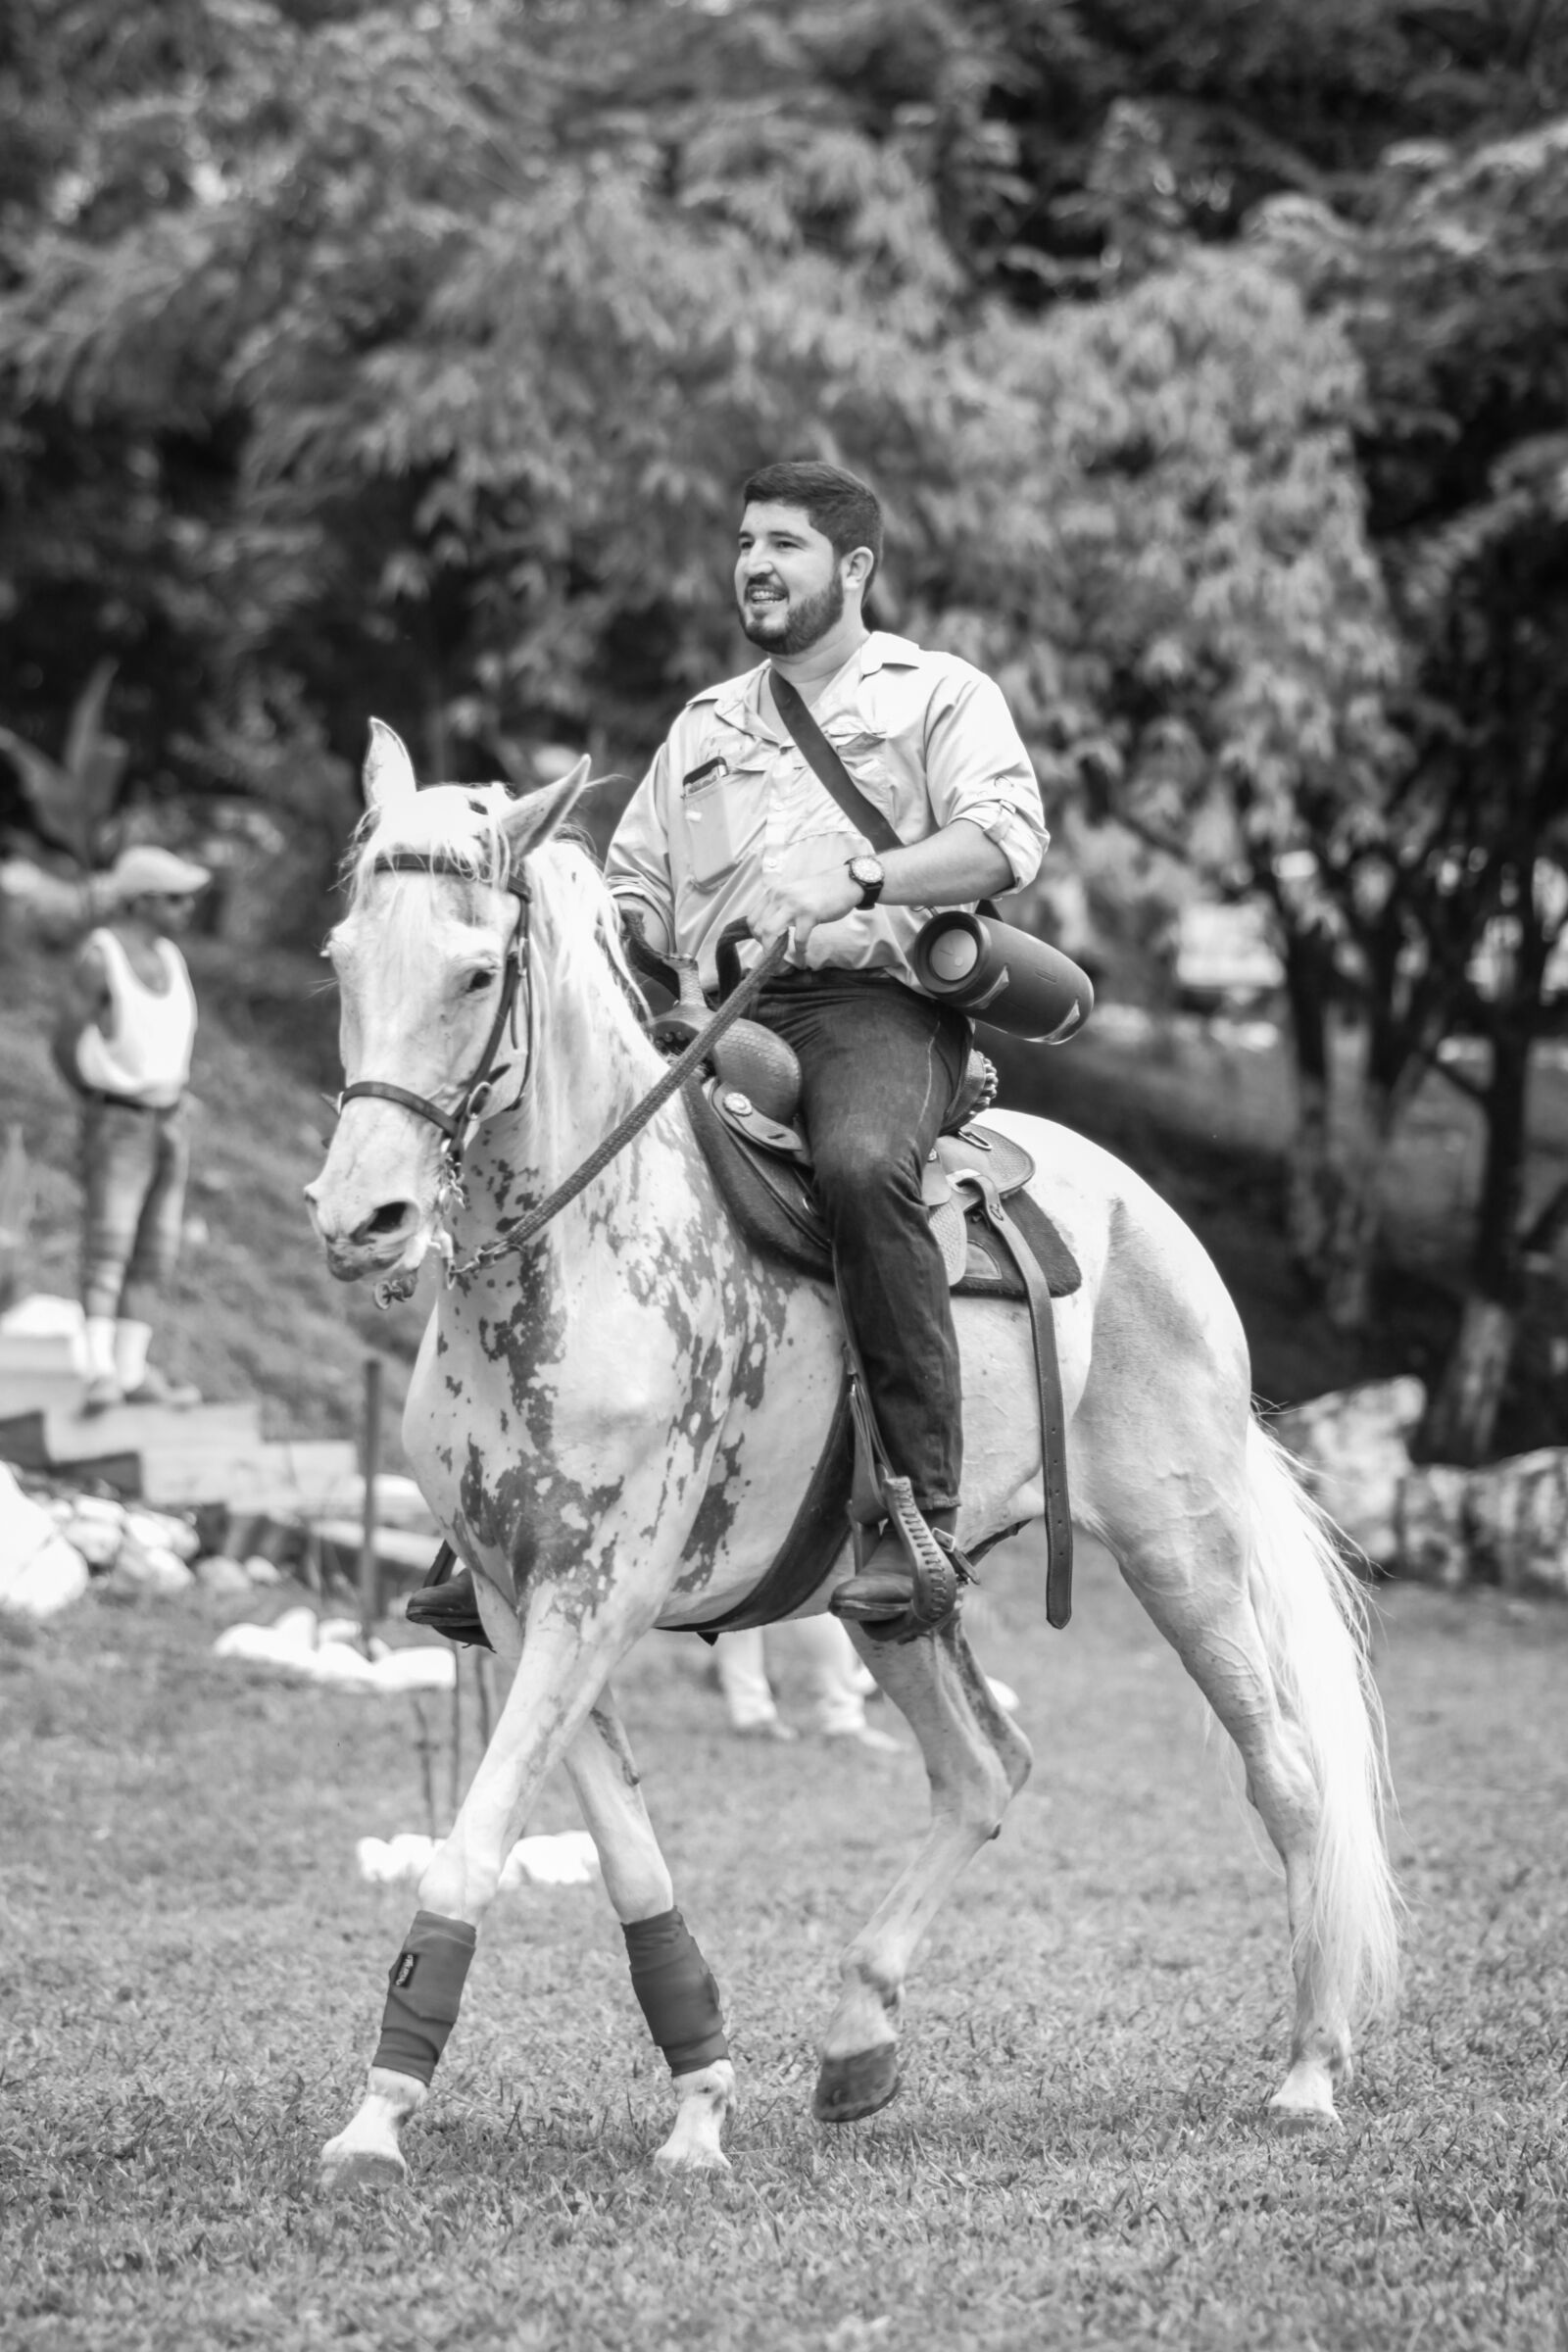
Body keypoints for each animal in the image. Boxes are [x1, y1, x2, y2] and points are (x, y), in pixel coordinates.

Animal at [303, 729, 1400, 2182]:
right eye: (342, 958)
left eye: (479, 971)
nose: (359, 1219)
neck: (584, 1250)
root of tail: (1146, 1212)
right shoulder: (512, 1597)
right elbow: (624, 1857)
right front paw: (700, 2098)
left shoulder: (602, 1594)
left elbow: (471, 1846)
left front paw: (376, 2119)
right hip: (890, 1598)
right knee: (983, 1770)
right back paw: (858, 2037)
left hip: (1187, 1550)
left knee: (1286, 1776)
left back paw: (1312, 2069)